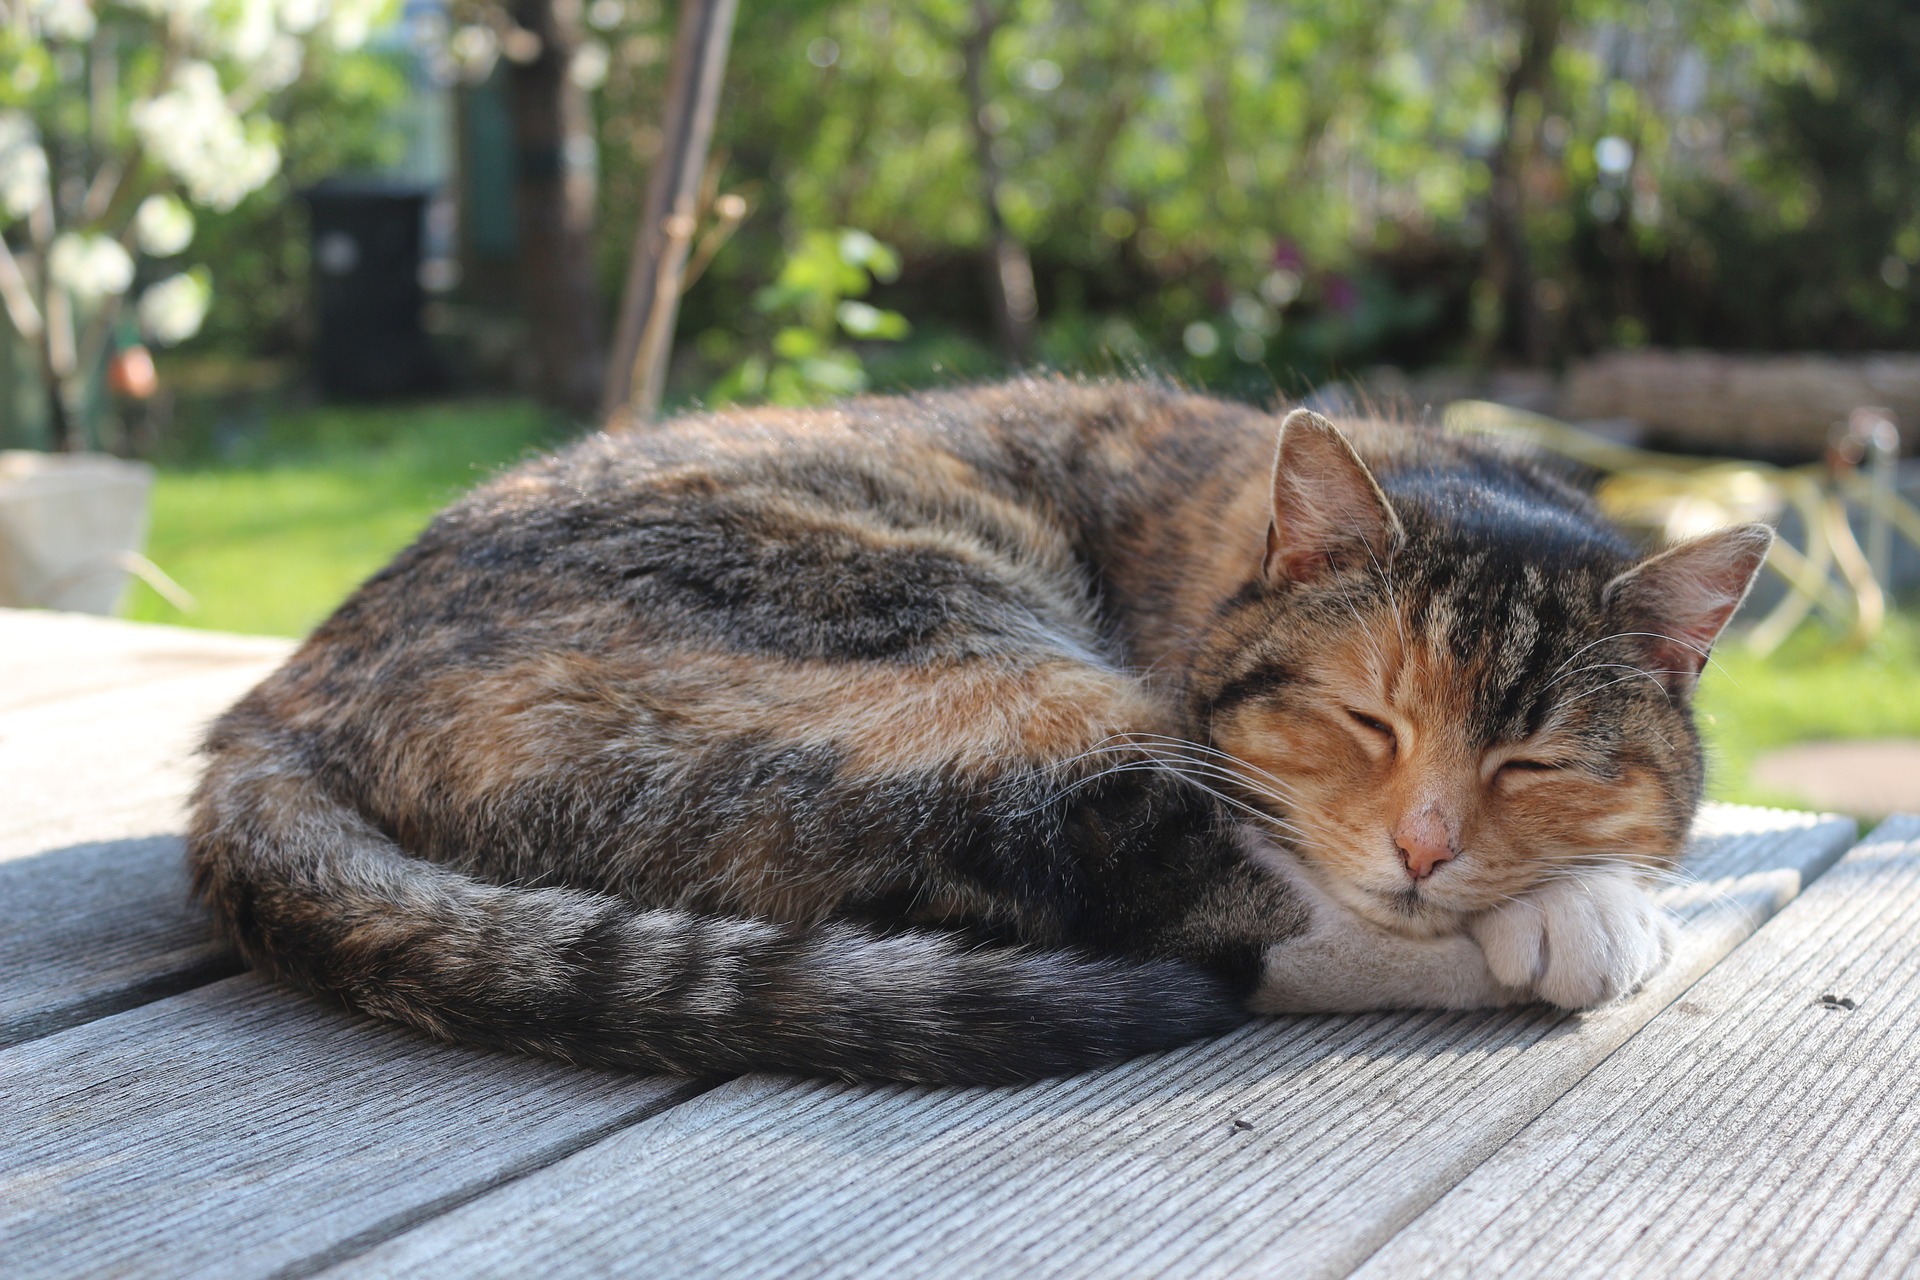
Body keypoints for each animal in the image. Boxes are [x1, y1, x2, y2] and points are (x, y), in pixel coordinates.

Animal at [183, 378, 1766, 1082]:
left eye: (1533, 760)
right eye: (1367, 716)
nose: (1430, 848)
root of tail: (283, 696)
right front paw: (1584, 911)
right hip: (938, 640)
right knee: (1167, 905)